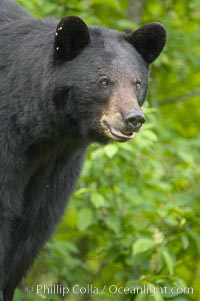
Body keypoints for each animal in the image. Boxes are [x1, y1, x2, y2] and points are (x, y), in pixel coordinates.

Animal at [0, 0, 166, 300]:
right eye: (104, 81)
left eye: (137, 83)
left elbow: (33, 226)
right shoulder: (8, 142)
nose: (133, 118)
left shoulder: (59, 163)